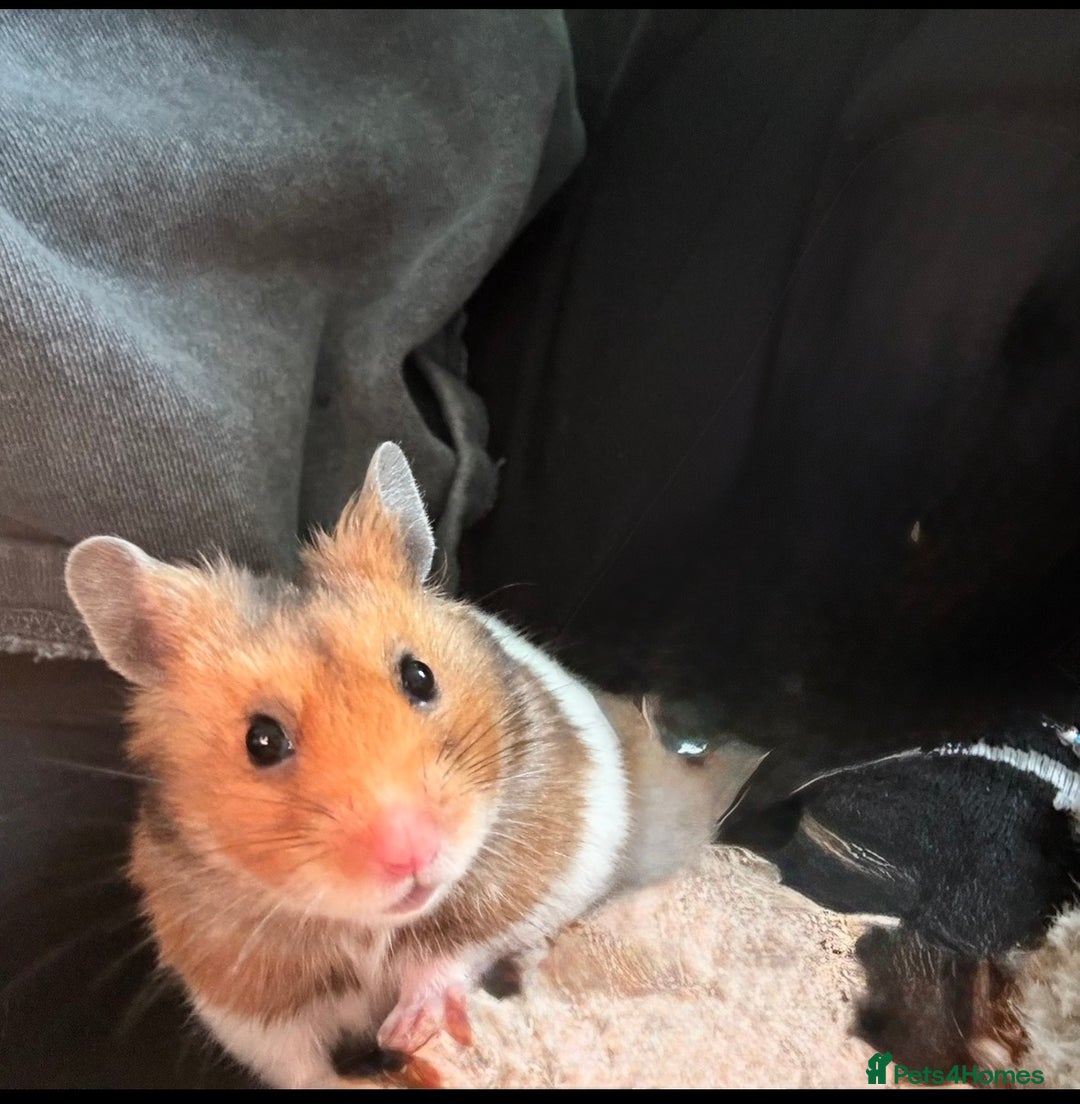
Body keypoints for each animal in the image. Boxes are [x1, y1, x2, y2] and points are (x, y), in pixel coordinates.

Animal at [64, 442, 760, 1089]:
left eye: (419, 676)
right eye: (260, 741)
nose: (412, 854)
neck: (370, 929)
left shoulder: (532, 865)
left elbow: (453, 952)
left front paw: (412, 1028)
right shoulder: (237, 990)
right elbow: (299, 1061)